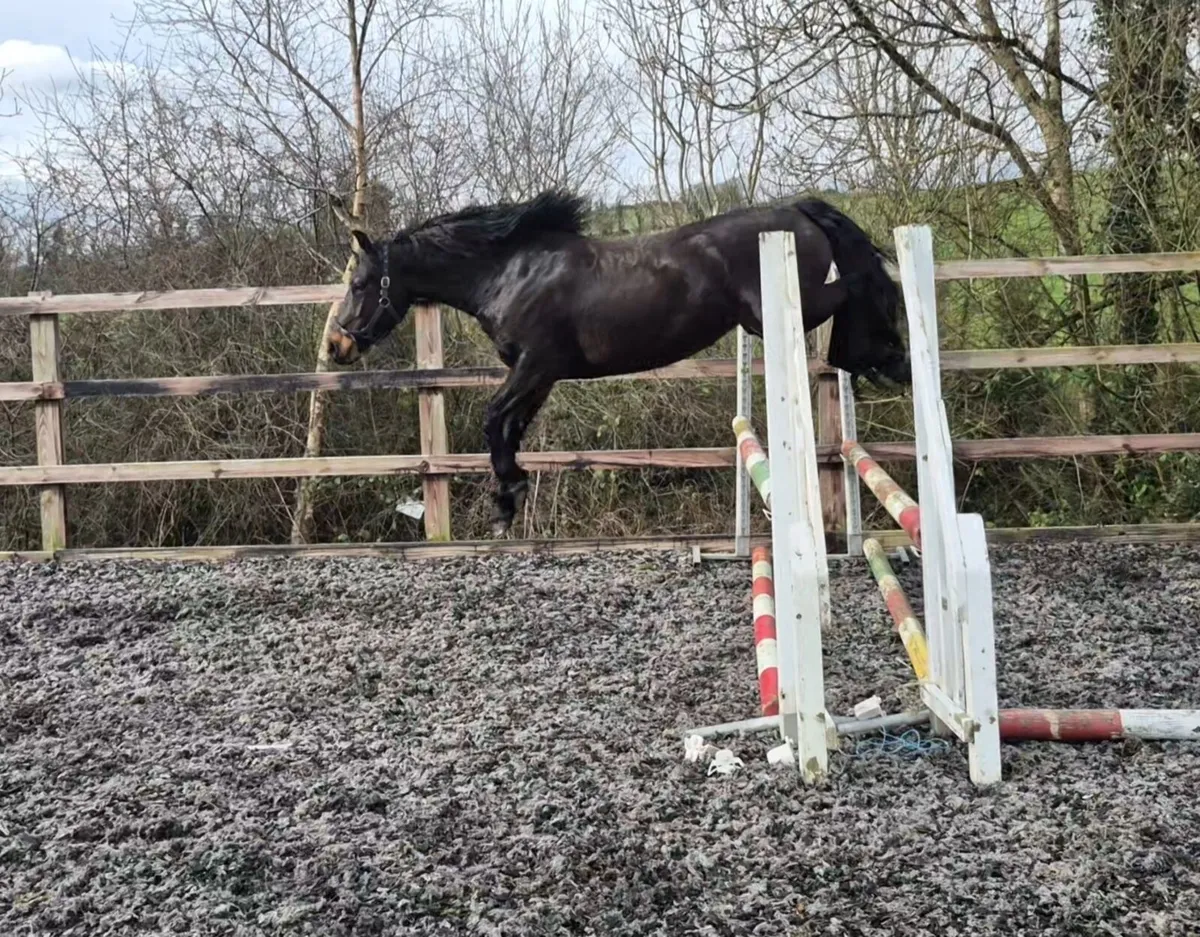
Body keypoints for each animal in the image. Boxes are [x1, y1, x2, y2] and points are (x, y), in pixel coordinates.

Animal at [326, 189, 910, 537]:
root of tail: (797, 211)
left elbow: (494, 420)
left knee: (858, 285)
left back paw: (880, 356)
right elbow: (511, 429)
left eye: (360, 284)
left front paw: (505, 501)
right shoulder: (541, 375)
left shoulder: (535, 364)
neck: (508, 272)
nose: (337, 347)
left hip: (786, 308)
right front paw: (509, 498)